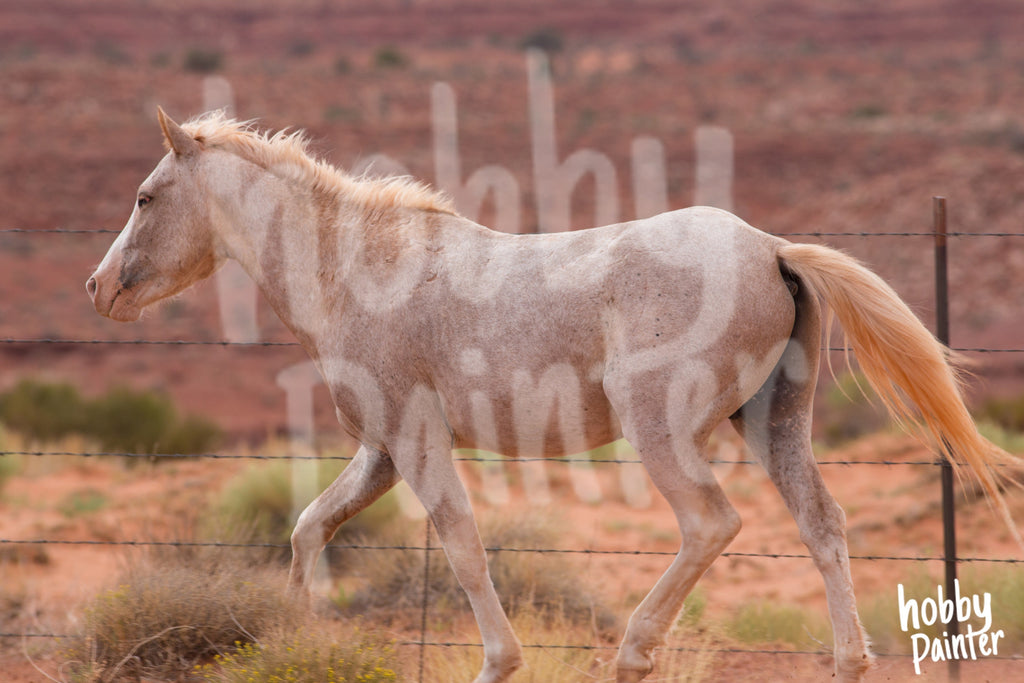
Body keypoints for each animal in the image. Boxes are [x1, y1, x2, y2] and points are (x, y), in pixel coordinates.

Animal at [86, 109, 1015, 679]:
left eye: (144, 195)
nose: (97, 288)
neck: (361, 271)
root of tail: (773, 249)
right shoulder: (380, 450)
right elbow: (310, 527)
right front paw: (300, 634)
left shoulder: (415, 439)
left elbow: (462, 547)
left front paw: (498, 661)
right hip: (773, 420)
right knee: (823, 524)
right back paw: (847, 660)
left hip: (661, 428)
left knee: (711, 523)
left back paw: (635, 652)